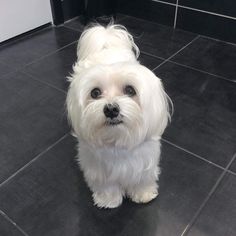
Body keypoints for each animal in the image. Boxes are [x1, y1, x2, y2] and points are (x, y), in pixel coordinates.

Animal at [66, 23, 171, 208]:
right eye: (95, 93)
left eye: (130, 90)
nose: (111, 109)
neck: (117, 141)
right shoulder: (98, 169)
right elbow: (106, 185)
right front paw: (108, 200)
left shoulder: (145, 163)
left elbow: (142, 180)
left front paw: (143, 194)